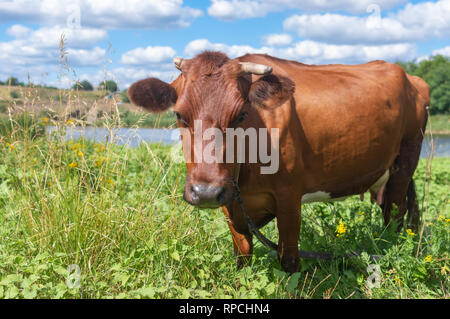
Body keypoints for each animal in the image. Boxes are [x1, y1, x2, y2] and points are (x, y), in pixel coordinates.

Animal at [127, 52, 428, 276]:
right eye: (179, 114)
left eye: (240, 114)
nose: (206, 193)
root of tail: (411, 78)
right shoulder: (229, 201)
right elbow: (243, 254)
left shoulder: (289, 197)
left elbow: (289, 258)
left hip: (406, 159)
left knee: (394, 215)